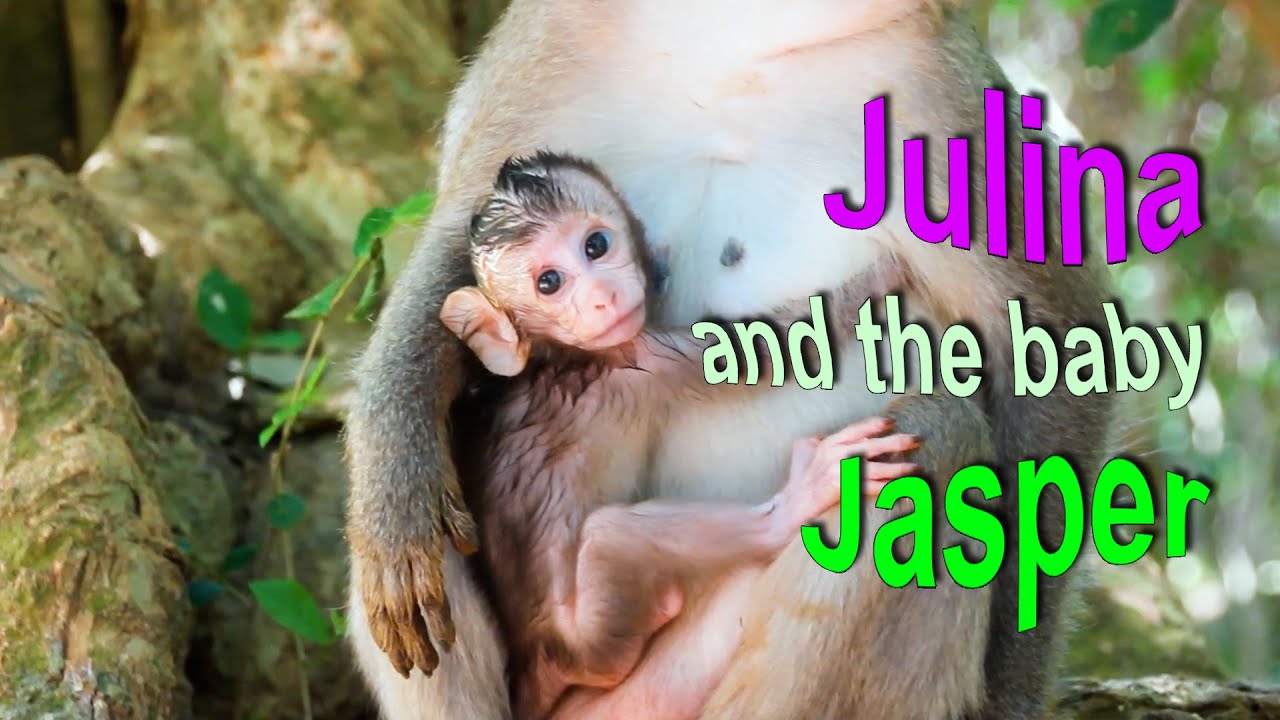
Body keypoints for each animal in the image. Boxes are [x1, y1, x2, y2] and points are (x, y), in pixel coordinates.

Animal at [440, 151, 922, 719]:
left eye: (596, 245)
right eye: (549, 282)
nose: (601, 298)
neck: (561, 355)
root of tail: (533, 660)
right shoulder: (650, 359)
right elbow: (771, 348)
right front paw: (885, 275)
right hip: (589, 647)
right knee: (612, 538)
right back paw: (796, 504)